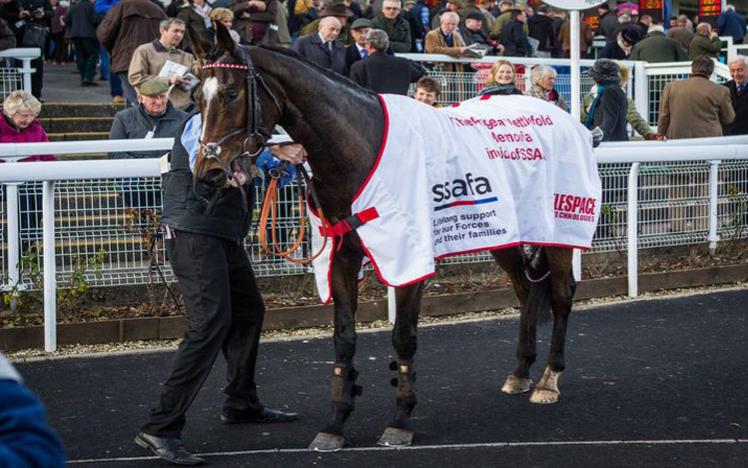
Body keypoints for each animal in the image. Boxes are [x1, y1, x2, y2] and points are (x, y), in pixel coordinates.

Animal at [187, 24, 580, 450]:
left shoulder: (411, 256)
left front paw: (400, 421)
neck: (360, 145)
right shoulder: (343, 254)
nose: (208, 171)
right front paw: (336, 423)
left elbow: (403, 337)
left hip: (560, 226)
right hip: (504, 235)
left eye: (231, 93)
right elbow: (344, 337)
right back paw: (521, 372)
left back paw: (548, 380)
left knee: (561, 295)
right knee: (526, 290)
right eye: (196, 96)